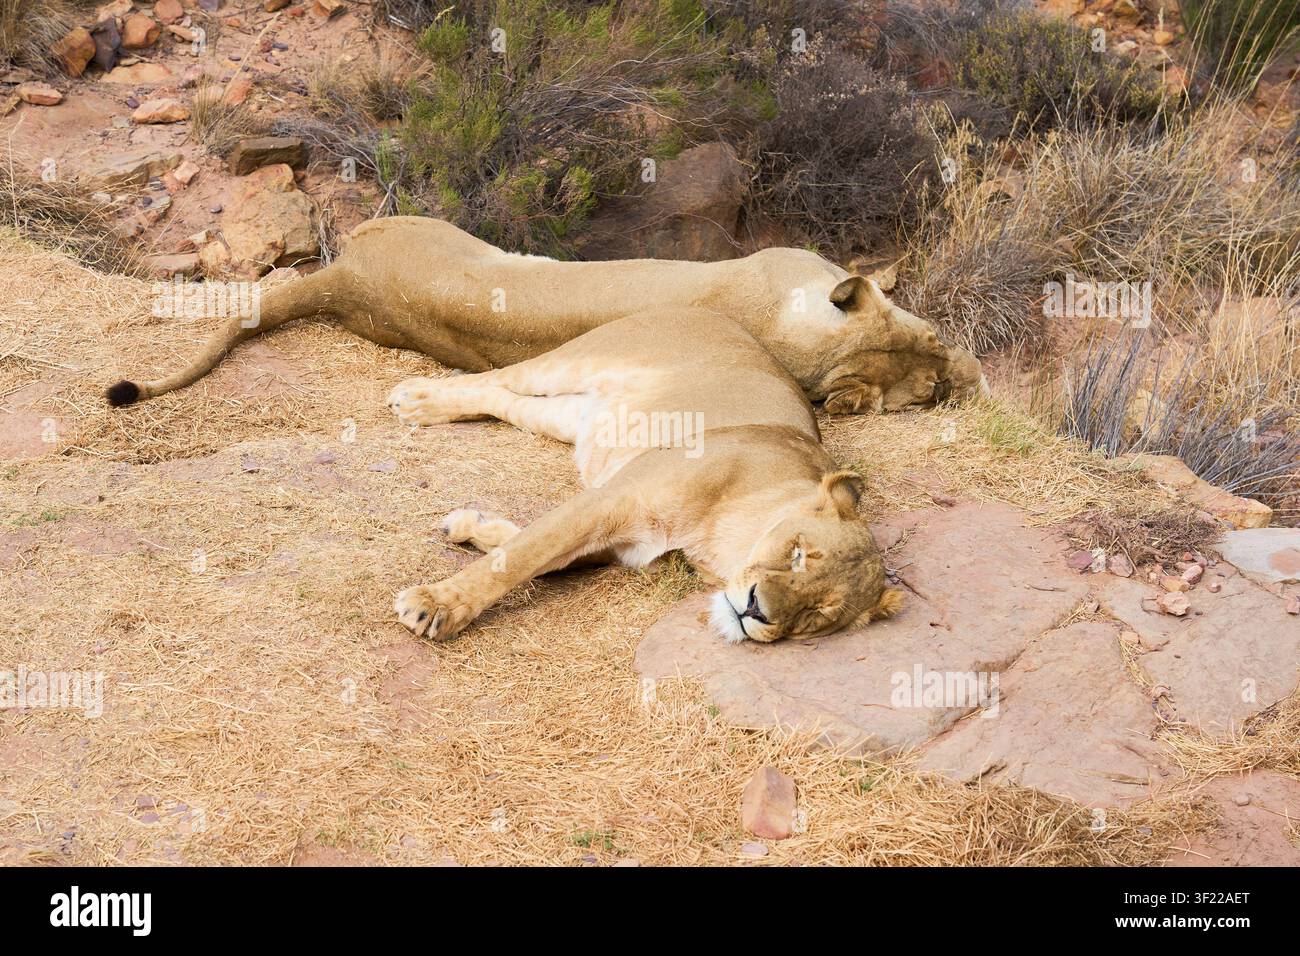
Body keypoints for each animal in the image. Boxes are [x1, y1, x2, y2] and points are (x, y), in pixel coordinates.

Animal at [387, 307, 903, 643]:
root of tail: (706, 309)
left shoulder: (619, 541)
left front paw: (470, 527)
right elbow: (523, 554)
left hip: (573, 417)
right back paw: (415, 399)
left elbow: (539, 552)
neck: (717, 546)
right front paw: (435, 604)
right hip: (573, 360)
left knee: (503, 399)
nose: (757, 610)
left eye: (817, 615)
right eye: (799, 553)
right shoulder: (615, 496)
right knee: (496, 375)